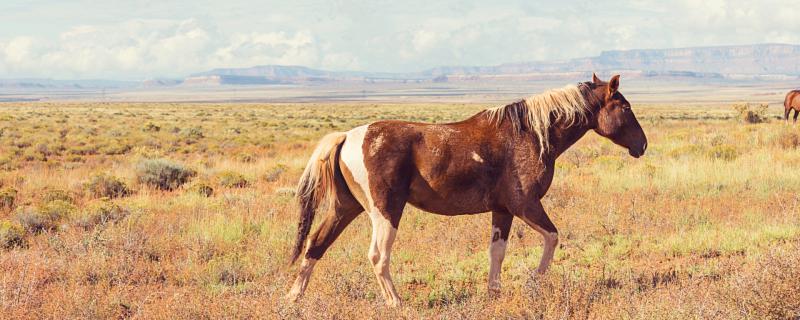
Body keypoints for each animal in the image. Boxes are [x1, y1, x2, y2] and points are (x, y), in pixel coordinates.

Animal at [284, 74, 648, 306]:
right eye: (625, 108)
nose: (642, 145)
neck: (529, 134)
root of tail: (347, 136)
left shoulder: (502, 210)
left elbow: (497, 252)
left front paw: (494, 292)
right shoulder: (526, 205)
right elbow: (553, 238)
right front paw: (534, 281)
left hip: (346, 208)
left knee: (315, 244)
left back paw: (293, 298)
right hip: (385, 211)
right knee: (378, 256)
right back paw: (396, 303)